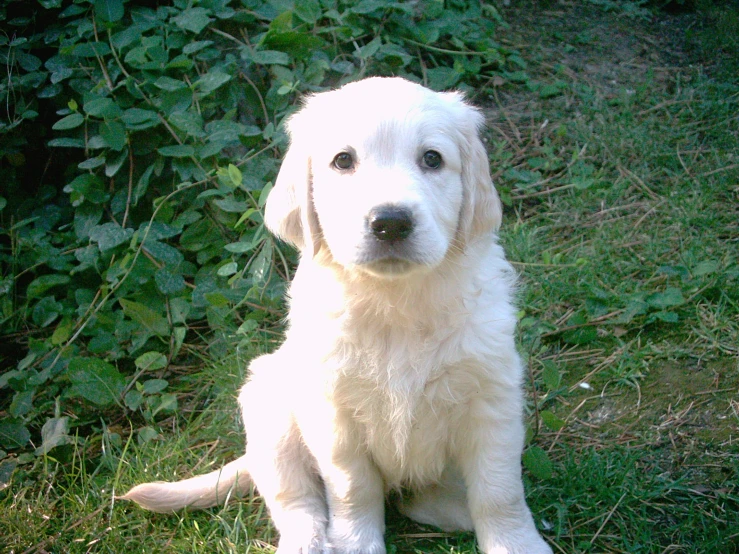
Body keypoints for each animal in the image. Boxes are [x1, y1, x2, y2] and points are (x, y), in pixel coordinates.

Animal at [121, 76, 552, 552]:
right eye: (343, 160)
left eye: (432, 159)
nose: (390, 222)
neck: (395, 303)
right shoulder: (333, 414)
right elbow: (351, 488)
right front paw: (355, 543)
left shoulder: (491, 401)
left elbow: (499, 491)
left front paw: (516, 543)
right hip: (269, 411)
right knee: (296, 502)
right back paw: (306, 541)